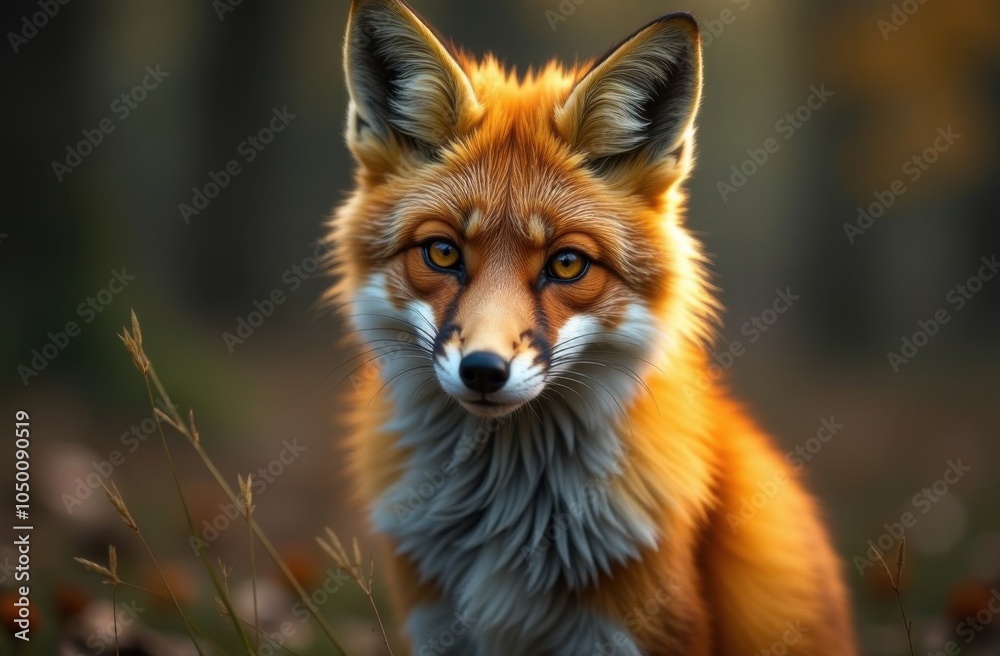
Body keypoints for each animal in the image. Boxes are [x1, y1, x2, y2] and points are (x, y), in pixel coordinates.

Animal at [327, 0, 858, 654]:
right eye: (443, 253)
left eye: (566, 264)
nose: (484, 371)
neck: (507, 517)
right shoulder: (435, 626)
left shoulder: (640, 629)